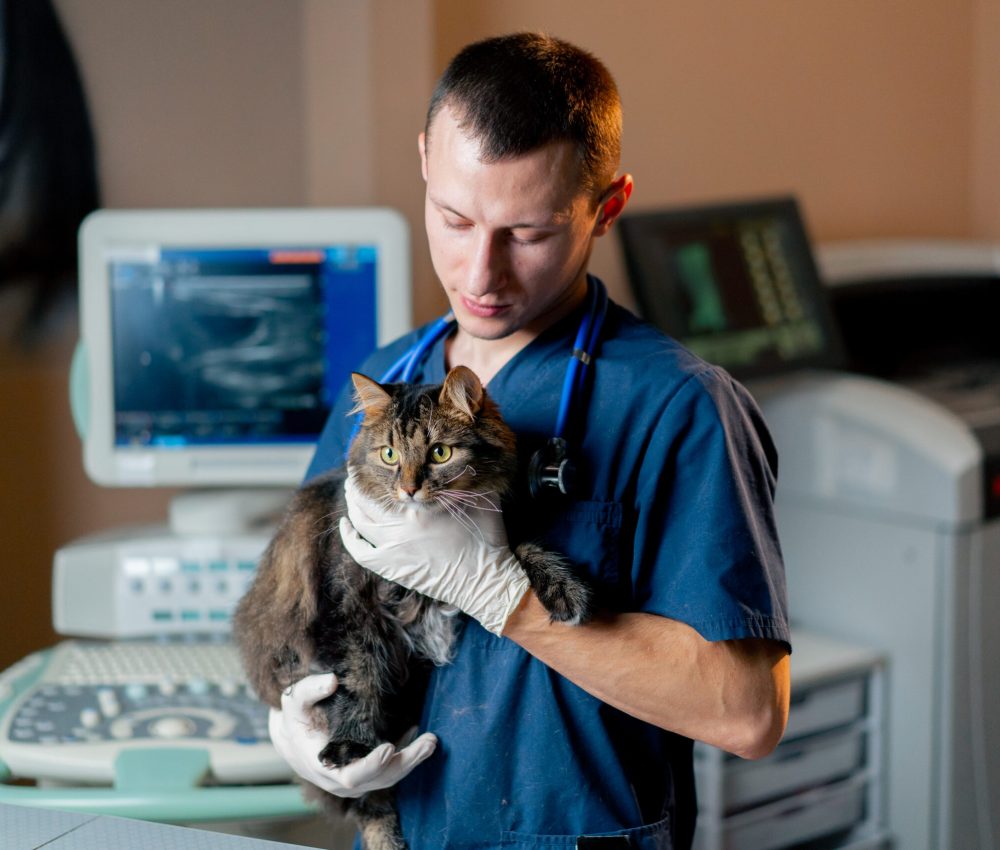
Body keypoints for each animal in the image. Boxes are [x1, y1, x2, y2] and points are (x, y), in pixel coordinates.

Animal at [232, 364, 592, 848]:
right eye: (389, 454)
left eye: (439, 453)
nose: (408, 489)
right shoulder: (347, 609)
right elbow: (358, 680)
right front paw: (353, 745)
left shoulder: (493, 540)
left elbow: (524, 550)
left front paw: (563, 589)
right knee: (370, 803)